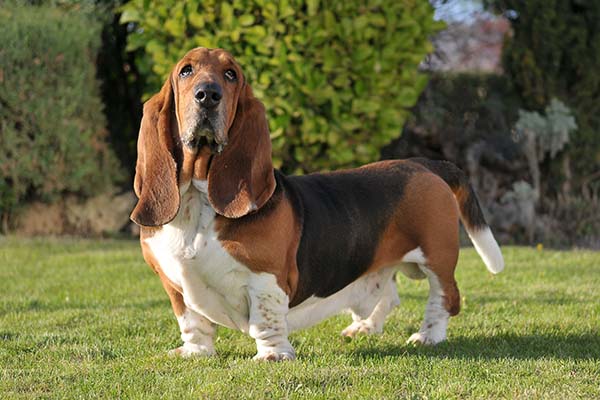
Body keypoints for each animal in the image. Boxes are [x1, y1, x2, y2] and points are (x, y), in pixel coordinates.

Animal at [130, 47, 502, 362]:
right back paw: (364, 328)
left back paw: (427, 336)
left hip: (437, 257)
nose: (208, 95)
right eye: (186, 71)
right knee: (388, 294)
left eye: (231, 74)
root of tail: (424, 163)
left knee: (446, 299)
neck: (198, 196)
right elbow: (193, 323)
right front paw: (194, 352)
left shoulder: (266, 280)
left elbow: (266, 321)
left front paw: (273, 356)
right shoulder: (174, 285)